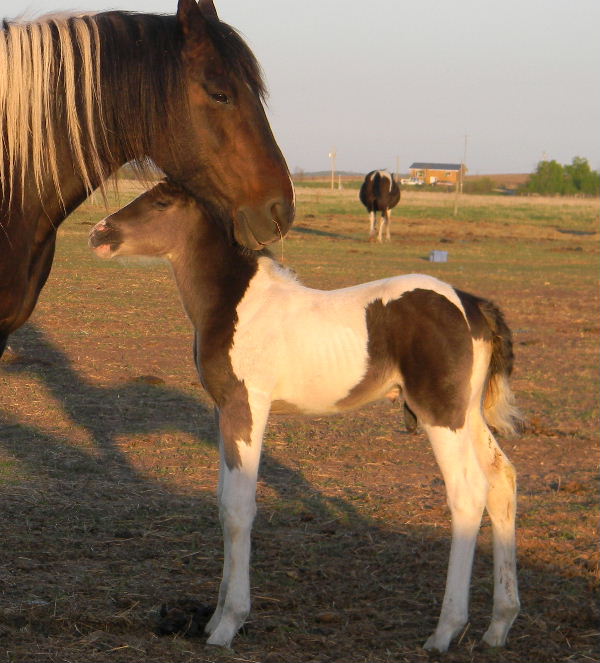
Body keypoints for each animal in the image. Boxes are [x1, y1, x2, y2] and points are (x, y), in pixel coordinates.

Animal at [89, 180, 521, 652]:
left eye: (161, 202)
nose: (98, 233)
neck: (238, 305)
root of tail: (473, 305)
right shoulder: (224, 410)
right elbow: (222, 502)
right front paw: (213, 616)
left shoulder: (246, 405)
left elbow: (238, 509)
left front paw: (227, 625)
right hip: (468, 413)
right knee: (502, 478)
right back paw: (498, 625)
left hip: (441, 413)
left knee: (469, 492)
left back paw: (445, 631)